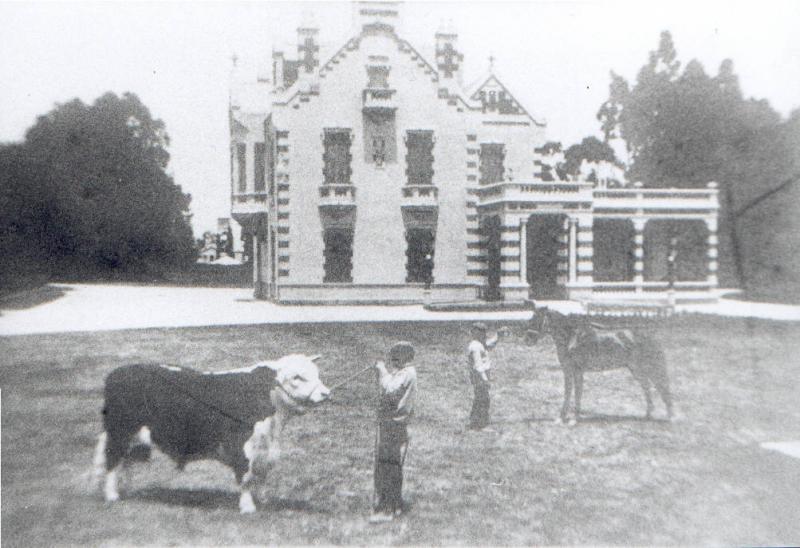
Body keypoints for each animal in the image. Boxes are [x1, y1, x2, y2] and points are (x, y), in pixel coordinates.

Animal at [92, 356, 330, 512]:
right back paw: (112, 496)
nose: (326, 393)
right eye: (297, 377)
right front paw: (248, 507)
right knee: (113, 461)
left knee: (126, 463)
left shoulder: (266, 449)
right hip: (119, 432)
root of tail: (117, 373)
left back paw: (127, 492)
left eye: (317, 374)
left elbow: (262, 475)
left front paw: (264, 502)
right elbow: (245, 478)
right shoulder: (241, 447)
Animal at [528, 306, 672, 422]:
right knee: (647, 388)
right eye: (532, 318)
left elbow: (577, 393)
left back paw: (670, 417)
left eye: (538, 319)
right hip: (636, 370)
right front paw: (562, 417)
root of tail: (651, 336)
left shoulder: (577, 371)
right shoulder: (568, 371)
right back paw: (648, 416)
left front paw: (574, 419)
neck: (571, 337)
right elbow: (568, 393)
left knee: (662, 387)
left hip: (648, 368)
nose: (527, 339)